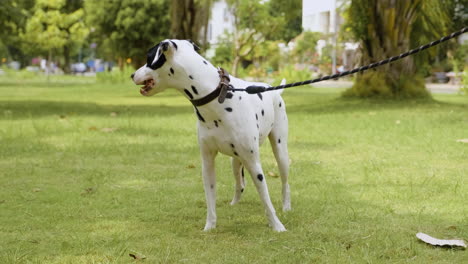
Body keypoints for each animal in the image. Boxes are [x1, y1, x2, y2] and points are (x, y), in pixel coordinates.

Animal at [131, 38, 288, 231]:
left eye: (148, 58)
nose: (132, 75)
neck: (215, 96)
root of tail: (274, 89)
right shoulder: (207, 163)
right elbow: (210, 198)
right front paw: (209, 226)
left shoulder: (254, 164)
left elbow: (265, 197)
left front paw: (277, 225)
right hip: (236, 162)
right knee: (240, 183)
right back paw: (234, 203)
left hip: (280, 153)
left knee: (285, 183)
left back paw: (286, 207)